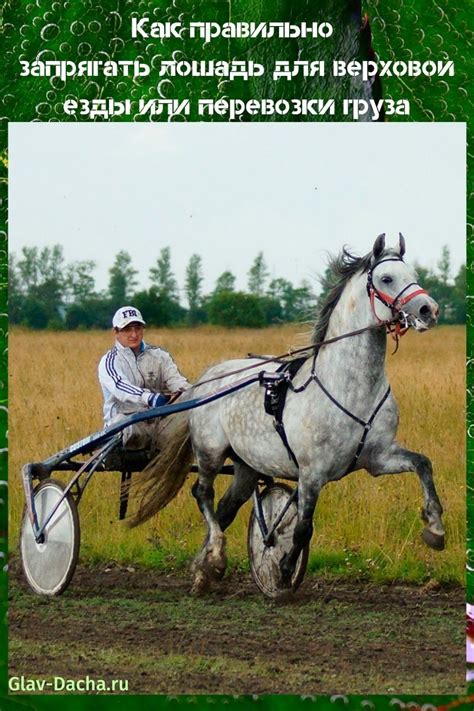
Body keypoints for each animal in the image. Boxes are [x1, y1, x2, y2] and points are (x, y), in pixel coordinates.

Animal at [129, 234, 444, 596]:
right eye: (386, 278)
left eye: (413, 274)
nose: (429, 309)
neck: (352, 387)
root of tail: (206, 379)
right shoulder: (311, 472)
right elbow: (304, 527)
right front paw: (282, 570)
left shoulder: (378, 458)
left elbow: (422, 464)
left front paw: (435, 528)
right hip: (210, 452)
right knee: (203, 495)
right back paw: (215, 557)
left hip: (246, 465)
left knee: (226, 507)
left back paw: (204, 568)